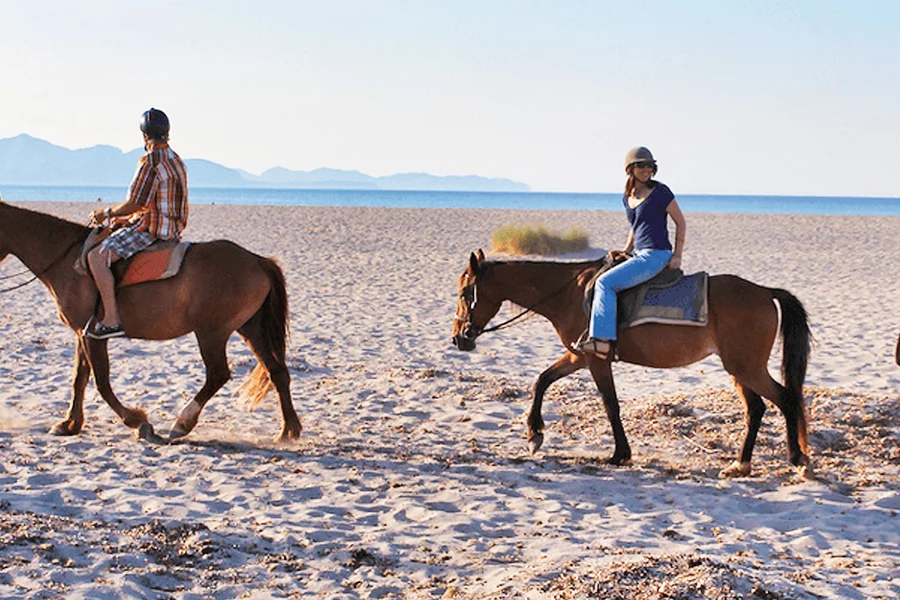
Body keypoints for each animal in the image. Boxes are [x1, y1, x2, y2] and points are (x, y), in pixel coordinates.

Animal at [0, 200, 301, 443]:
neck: (68, 258)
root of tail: (258, 261)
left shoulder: (94, 336)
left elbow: (101, 382)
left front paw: (138, 422)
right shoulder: (82, 334)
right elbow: (80, 378)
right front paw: (69, 424)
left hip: (211, 334)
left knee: (218, 374)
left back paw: (182, 423)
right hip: (251, 329)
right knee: (277, 371)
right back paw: (288, 431)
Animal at [452, 250, 812, 478]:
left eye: (466, 292)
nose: (459, 338)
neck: (571, 293)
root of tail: (764, 291)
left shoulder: (594, 359)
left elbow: (610, 404)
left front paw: (619, 454)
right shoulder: (578, 356)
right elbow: (542, 379)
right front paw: (534, 433)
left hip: (746, 368)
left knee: (785, 399)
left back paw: (797, 460)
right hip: (738, 369)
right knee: (757, 409)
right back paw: (741, 465)